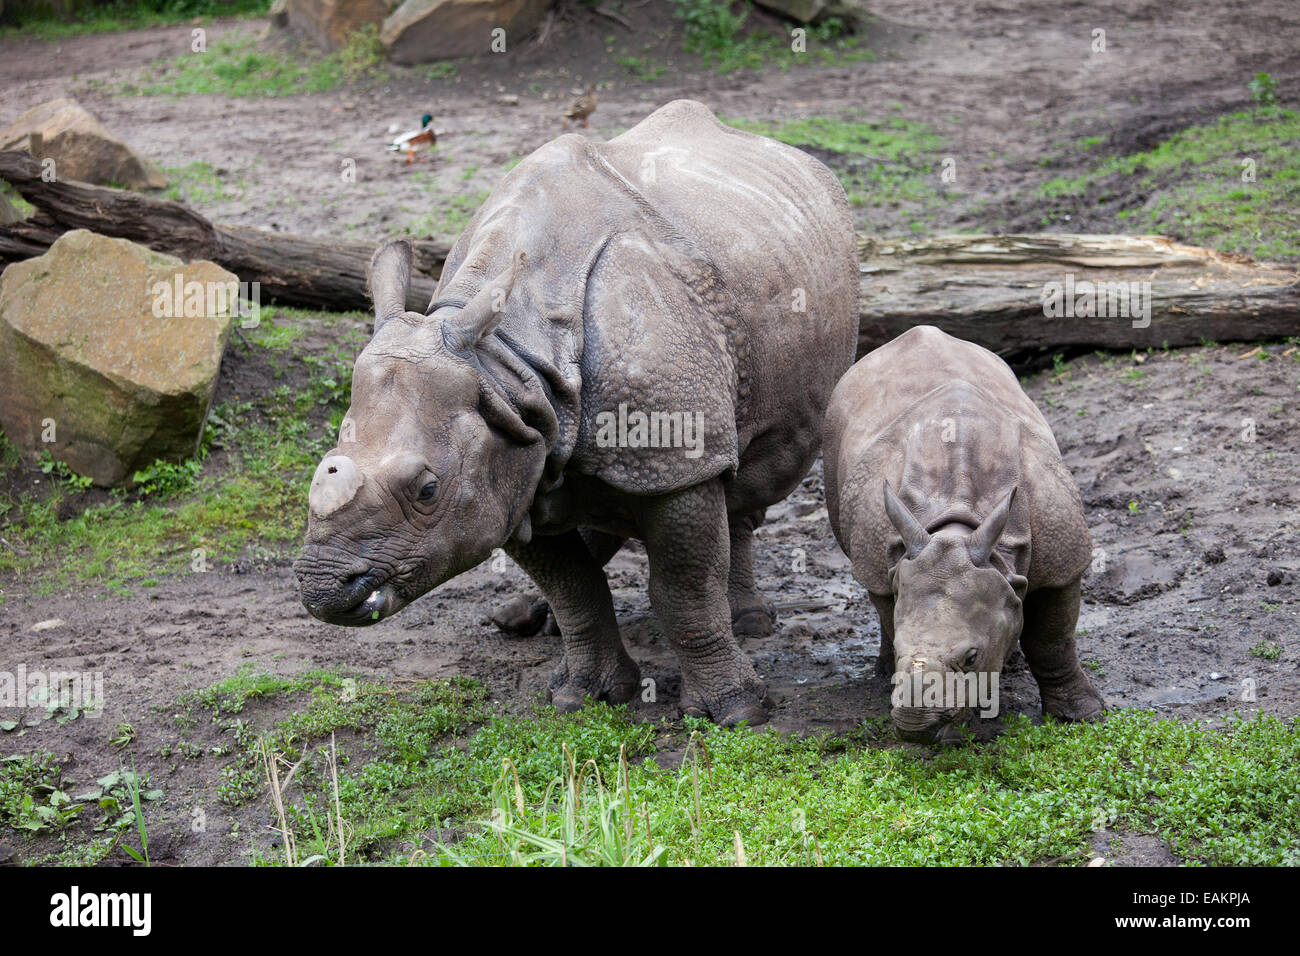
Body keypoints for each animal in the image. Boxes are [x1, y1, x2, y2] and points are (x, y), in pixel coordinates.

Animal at [293, 100, 860, 726]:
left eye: (426, 489)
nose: (327, 591)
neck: (505, 361)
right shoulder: (513, 442)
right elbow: (574, 586)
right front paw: (582, 696)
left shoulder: (664, 456)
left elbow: (685, 587)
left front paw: (736, 713)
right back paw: (521, 620)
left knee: (739, 469)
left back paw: (749, 625)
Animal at [823, 325, 1105, 742]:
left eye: (972, 657)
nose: (914, 728)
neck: (959, 529)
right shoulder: (887, 561)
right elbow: (890, 609)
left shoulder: (1063, 561)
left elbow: (1053, 639)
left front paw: (1082, 716)